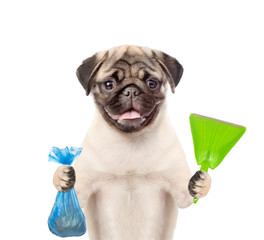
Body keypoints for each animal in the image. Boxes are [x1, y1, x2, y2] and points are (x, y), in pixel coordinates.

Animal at [52, 45, 211, 240]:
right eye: (109, 85)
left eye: (152, 83)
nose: (131, 91)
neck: (130, 141)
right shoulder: (83, 189)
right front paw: (61, 176)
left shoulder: (179, 192)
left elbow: (189, 193)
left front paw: (201, 182)